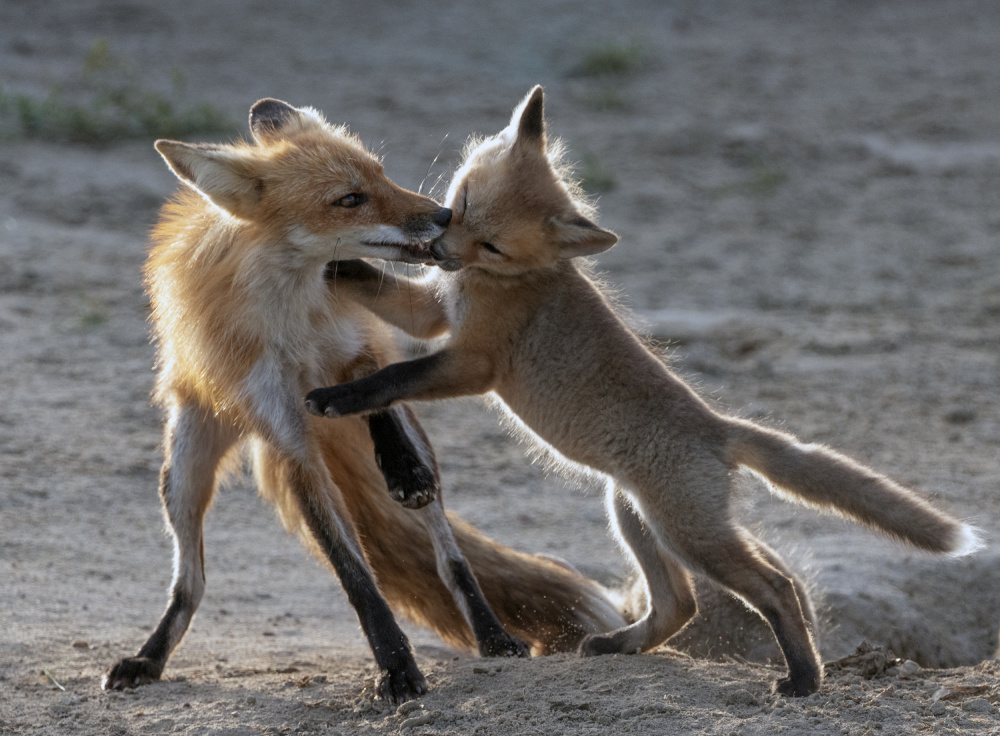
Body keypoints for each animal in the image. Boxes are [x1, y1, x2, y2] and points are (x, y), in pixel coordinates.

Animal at [107, 96, 624, 700]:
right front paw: (396, 667)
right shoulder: (289, 437)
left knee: (451, 559)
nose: (444, 216)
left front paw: (398, 465)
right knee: (191, 585)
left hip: (421, 459)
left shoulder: (354, 347)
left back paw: (493, 634)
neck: (296, 314)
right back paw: (150, 656)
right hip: (183, 474)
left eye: (381, 173)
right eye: (349, 199)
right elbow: (356, 578)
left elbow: (375, 394)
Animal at [302, 86, 976, 696]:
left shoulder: (475, 363)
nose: (439, 248)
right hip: (636, 517)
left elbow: (390, 380)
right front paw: (332, 262)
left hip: (687, 533)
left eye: (492, 243)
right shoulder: (432, 313)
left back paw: (804, 679)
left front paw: (338, 398)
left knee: (773, 587)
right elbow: (372, 283)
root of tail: (719, 429)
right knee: (686, 604)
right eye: (461, 203)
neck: (512, 277)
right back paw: (621, 646)